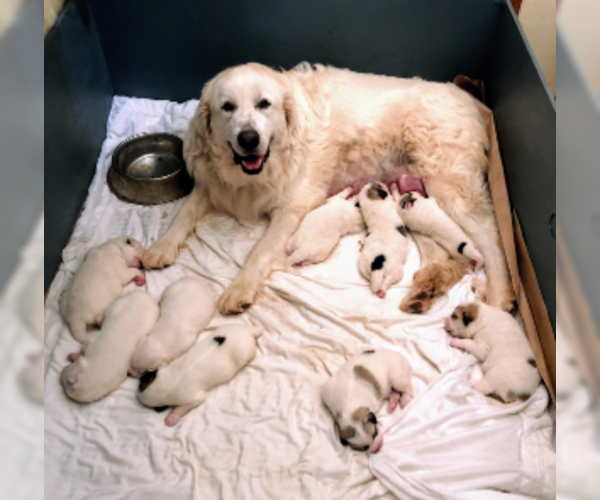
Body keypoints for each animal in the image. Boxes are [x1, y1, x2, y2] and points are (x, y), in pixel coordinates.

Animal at [143, 61, 512, 312]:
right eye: (227, 107)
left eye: (264, 104)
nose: (248, 139)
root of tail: (468, 99)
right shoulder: (214, 186)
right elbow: (184, 213)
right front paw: (161, 248)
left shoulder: (292, 207)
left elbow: (259, 250)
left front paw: (240, 289)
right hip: (413, 194)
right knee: (438, 252)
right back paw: (424, 291)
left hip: (451, 189)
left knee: (493, 240)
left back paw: (499, 295)